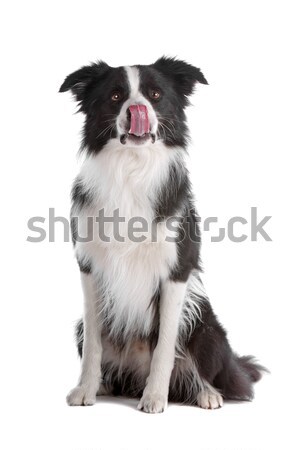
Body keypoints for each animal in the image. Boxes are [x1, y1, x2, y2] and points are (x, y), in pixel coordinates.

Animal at [59, 57, 264, 414]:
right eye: (115, 96)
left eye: (155, 94)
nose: (137, 109)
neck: (131, 167)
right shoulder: (89, 268)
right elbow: (94, 347)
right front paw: (85, 389)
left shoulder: (176, 272)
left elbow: (165, 346)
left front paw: (155, 397)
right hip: (79, 327)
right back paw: (107, 385)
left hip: (207, 327)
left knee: (203, 369)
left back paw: (207, 393)